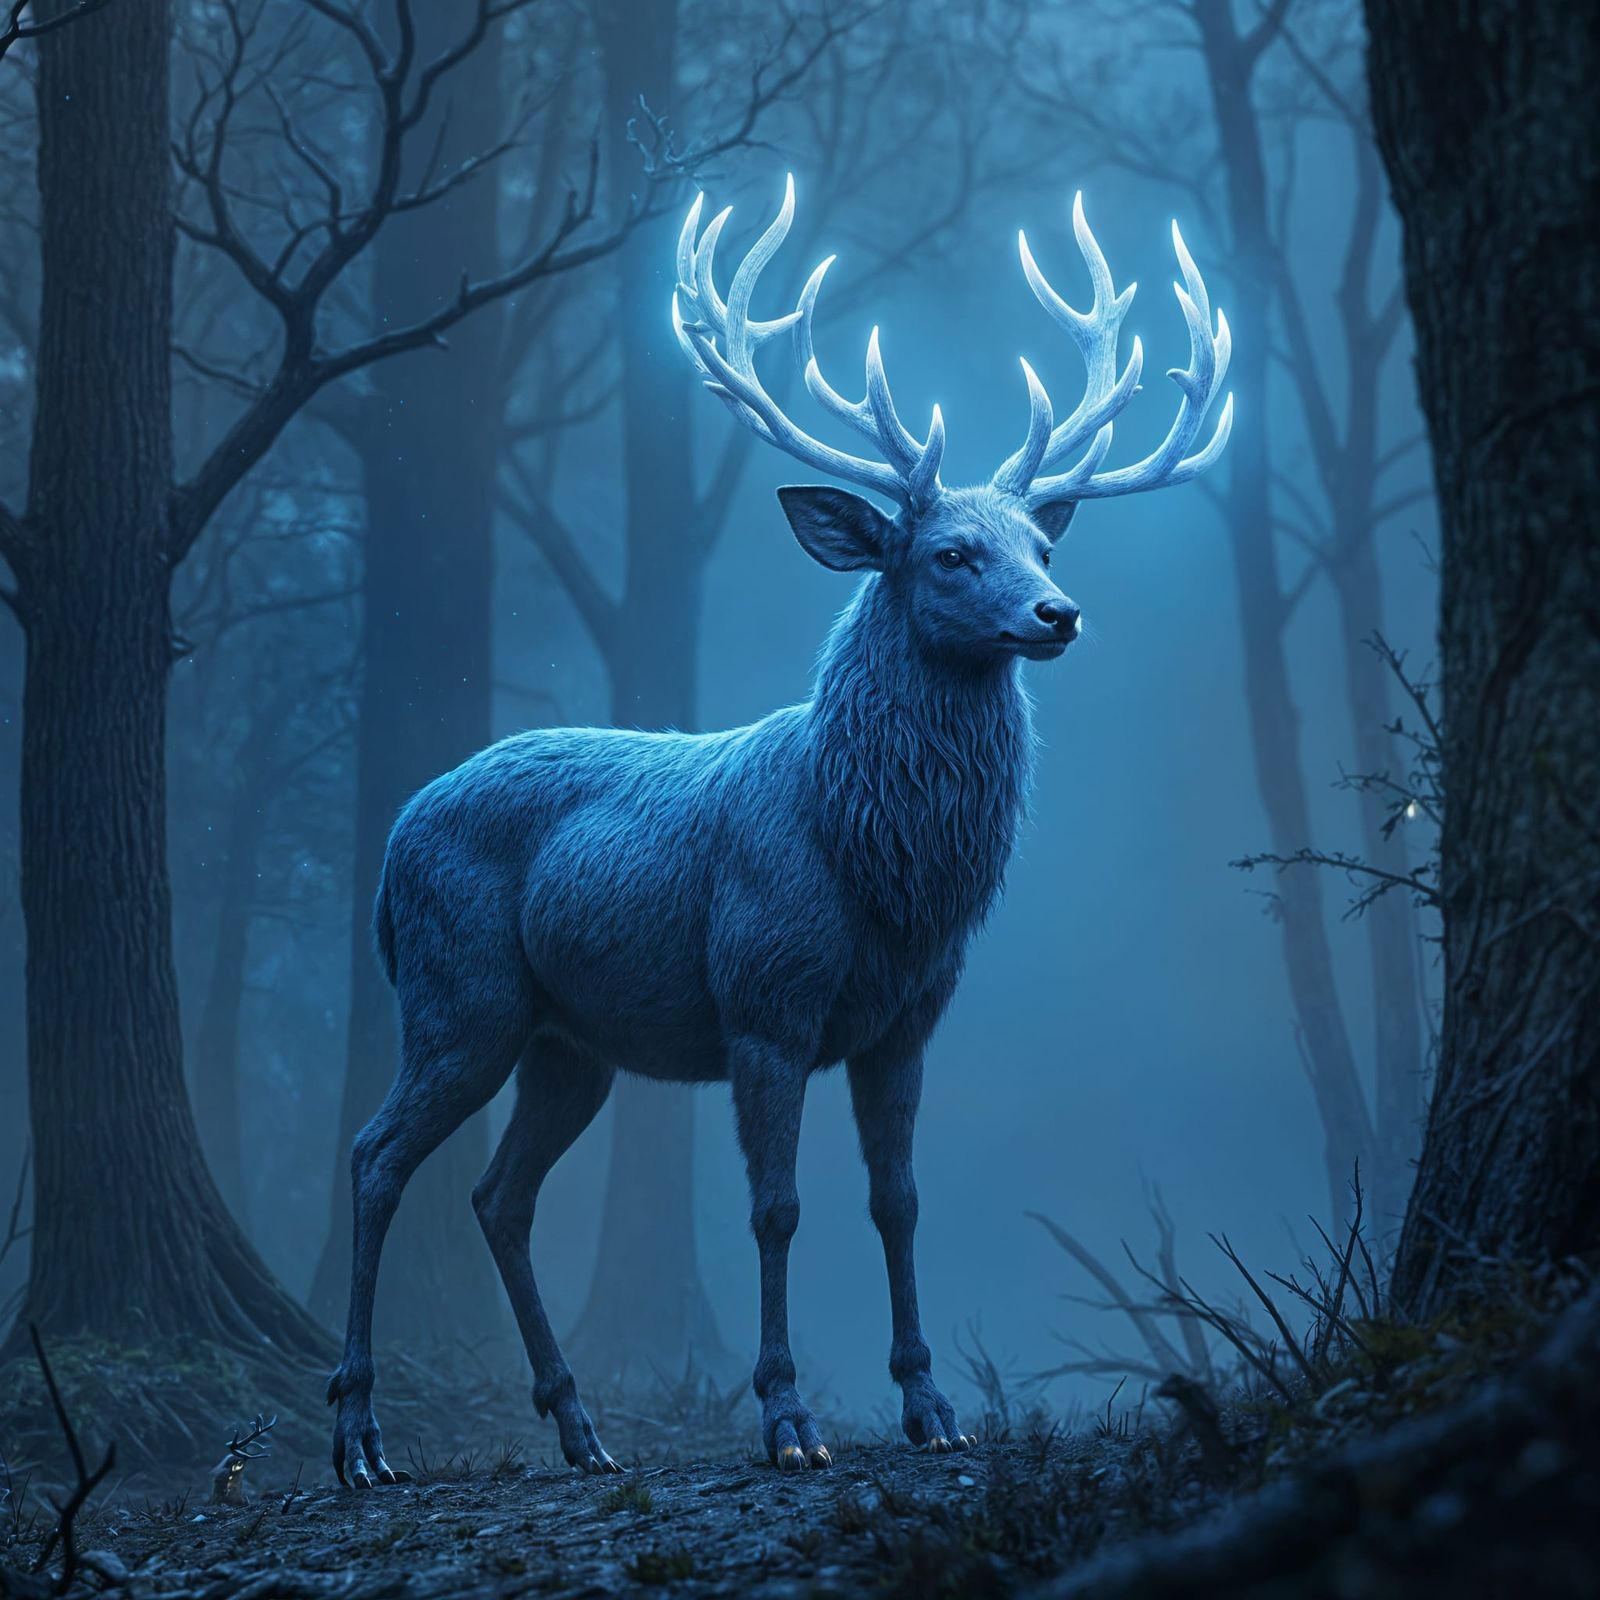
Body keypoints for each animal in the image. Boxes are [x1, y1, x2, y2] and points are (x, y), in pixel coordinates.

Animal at [326, 177, 1232, 1484]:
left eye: (1042, 543)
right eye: (951, 552)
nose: (1058, 612)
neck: (879, 867)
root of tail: (393, 847)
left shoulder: (906, 1017)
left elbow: (897, 1200)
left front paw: (931, 1405)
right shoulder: (765, 996)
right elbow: (777, 1206)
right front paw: (787, 1416)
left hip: (569, 1042)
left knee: (500, 1193)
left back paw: (582, 1430)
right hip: (462, 995)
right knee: (376, 1153)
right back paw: (358, 1438)